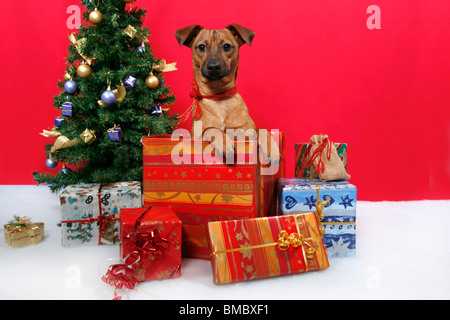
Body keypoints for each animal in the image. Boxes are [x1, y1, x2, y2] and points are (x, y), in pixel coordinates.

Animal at [175, 23, 278, 162]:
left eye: (227, 46)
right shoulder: (196, 136)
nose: (213, 66)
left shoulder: (246, 130)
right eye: (201, 47)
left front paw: (271, 147)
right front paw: (224, 144)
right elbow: (212, 129)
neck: (219, 96)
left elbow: (261, 129)